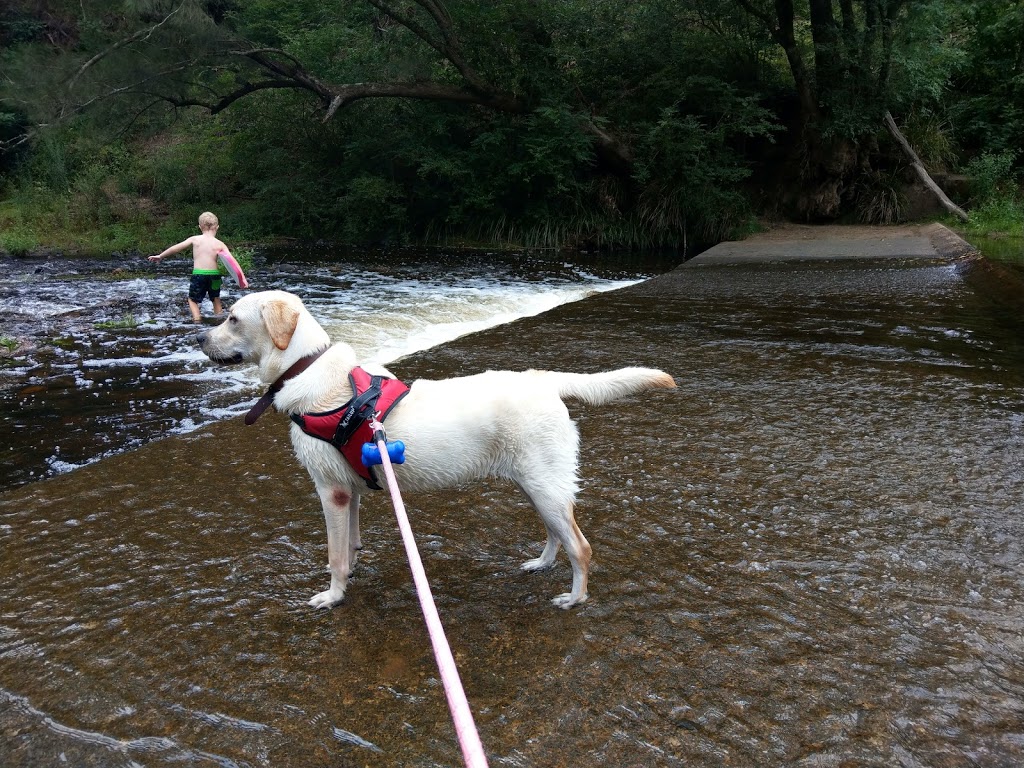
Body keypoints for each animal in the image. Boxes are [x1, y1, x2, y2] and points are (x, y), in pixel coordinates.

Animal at [199, 290, 675, 610]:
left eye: (233, 319)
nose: (201, 340)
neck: (307, 369)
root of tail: (544, 379)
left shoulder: (330, 490)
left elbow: (334, 554)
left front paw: (332, 595)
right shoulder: (348, 493)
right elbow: (350, 544)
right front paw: (351, 573)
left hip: (544, 486)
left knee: (580, 546)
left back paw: (574, 599)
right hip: (537, 487)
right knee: (557, 533)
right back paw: (541, 564)